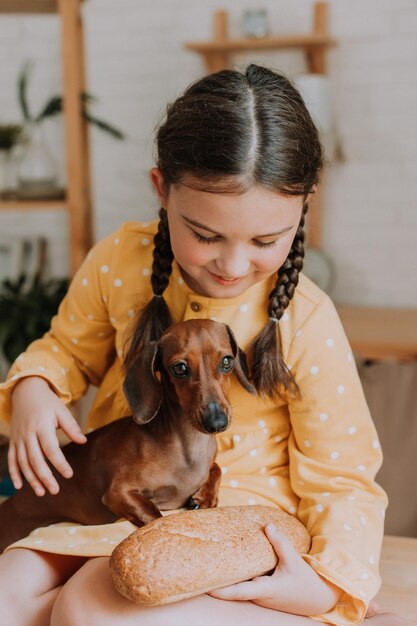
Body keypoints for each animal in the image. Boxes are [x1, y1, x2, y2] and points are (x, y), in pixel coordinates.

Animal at [0, 322, 255, 552]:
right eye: (180, 368)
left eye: (227, 362)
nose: (216, 422)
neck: (187, 446)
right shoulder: (118, 493)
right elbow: (155, 516)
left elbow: (217, 468)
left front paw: (205, 497)